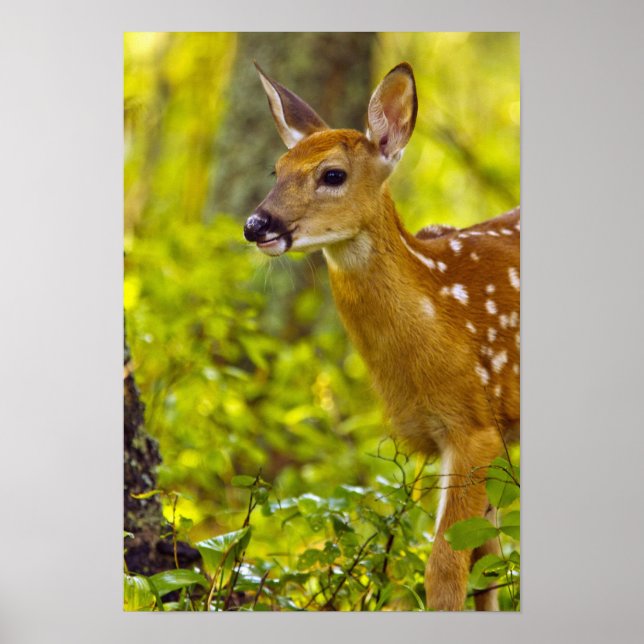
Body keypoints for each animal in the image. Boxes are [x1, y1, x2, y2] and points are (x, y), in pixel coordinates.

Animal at [243, 61, 520, 611]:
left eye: (332, 174)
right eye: (277, 170)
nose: (255, 224)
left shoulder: (474, 425)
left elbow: (446, 567)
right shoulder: (480, 433)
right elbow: (487, 563)